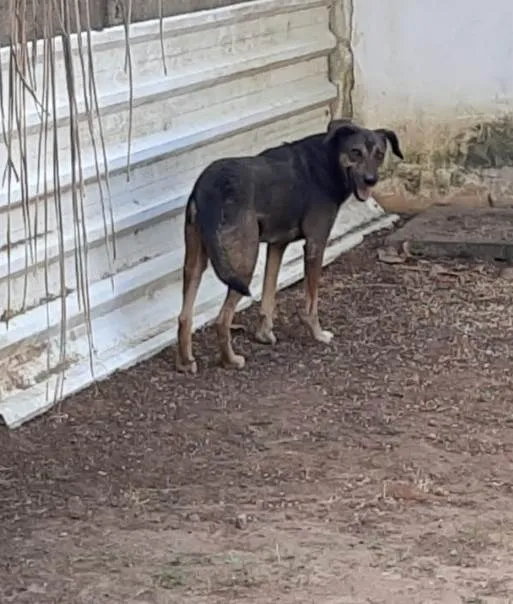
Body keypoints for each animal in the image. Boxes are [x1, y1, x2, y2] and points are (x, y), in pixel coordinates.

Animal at [176, 119, 404, 372]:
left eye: (380, 154)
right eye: (356, 152)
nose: (371, 180)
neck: (328, 160)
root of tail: (208, 189)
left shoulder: (277, 245)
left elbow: (269, 294)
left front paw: (264, 334)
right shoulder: (315, 245)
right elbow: (311, 303)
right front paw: (318, 334)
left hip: (195, 262)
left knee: (184, 316)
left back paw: (186, 362)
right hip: (244, 263)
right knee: (222, 320)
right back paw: (230, 360)